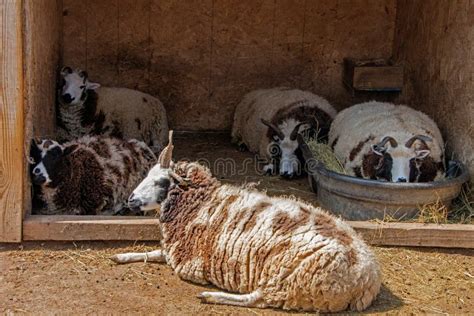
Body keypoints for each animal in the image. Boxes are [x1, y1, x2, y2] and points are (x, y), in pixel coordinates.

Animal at [111, 131, 382, 314]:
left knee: (258, 299)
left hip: (288, 279)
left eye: (160, 182)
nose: (130, 199)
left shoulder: (188, 263)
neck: (200, 202)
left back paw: (211, 295)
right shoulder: (174, 250)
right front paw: (121, 256)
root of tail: (367, 278)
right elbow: (152, 252)